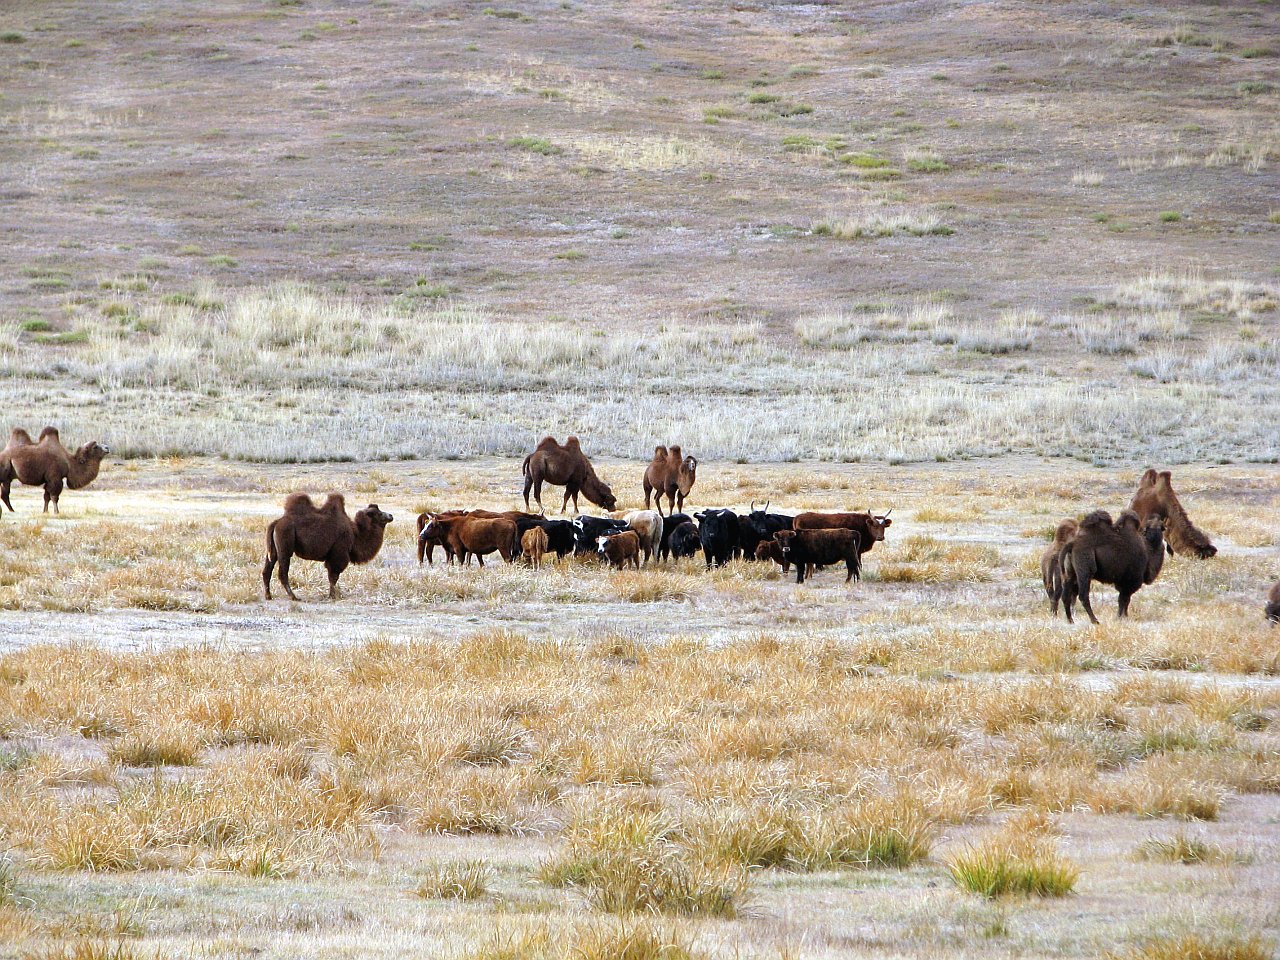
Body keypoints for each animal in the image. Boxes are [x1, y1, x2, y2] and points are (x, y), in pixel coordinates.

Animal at [262, 493, 393, 601]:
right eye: (379, 513)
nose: (391, 515)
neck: (355, 535)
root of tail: (276, 523)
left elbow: (332, 577)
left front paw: (332, 595)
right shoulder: (338, 554)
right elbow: (333, 576)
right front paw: (332, 596)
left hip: (273, 549)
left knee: (267, 569)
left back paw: (268, 596)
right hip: (285, 542)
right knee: (282, 572)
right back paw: (293, 597)